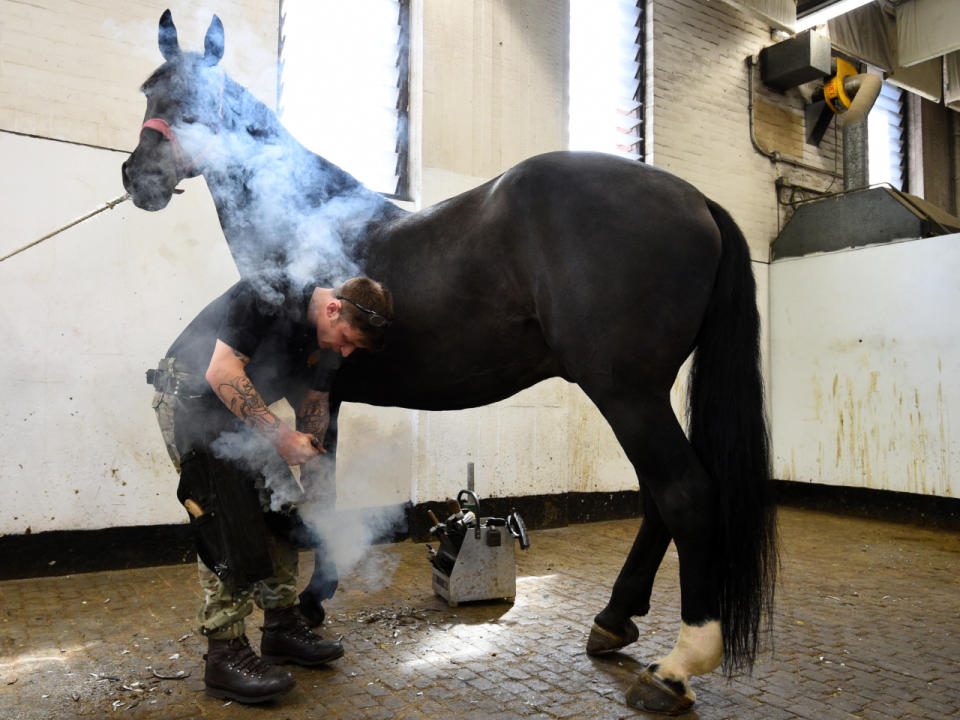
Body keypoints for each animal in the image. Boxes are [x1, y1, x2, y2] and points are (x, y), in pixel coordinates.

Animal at [122, 11, 780, 716]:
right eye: (149, 94)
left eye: (191, 101)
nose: (136, 177)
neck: (305, 223)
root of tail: (697, 201)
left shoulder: (305, 390)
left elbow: (318, 491)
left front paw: (311, 604)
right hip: (641, 395)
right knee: (660, 499)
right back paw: (614, 619)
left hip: (626, 393)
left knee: (684, 494)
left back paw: (676, 667)